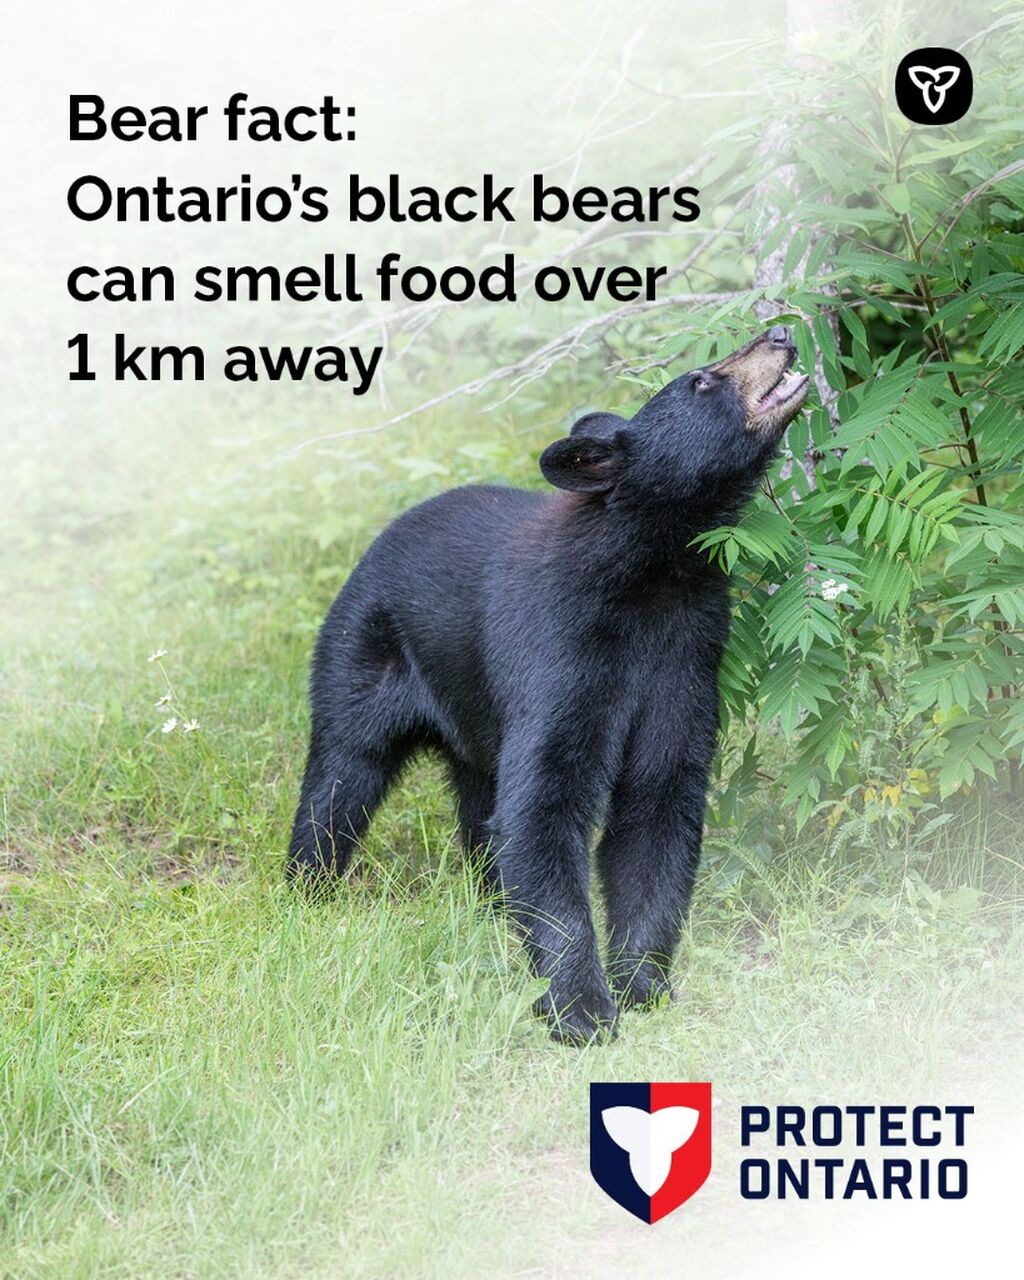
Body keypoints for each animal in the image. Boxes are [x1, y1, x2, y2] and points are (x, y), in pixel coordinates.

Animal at [288, 325, 809, 1042]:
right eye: (702, 380)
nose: (781, 332)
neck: (654, 576)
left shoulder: (686, 660)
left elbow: (658, 804)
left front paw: (643, 983)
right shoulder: (562, 656)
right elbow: (544, 805)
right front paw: (581, 1007)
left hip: (475, 713)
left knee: (481, 809)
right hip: (360, 653)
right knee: (341, 779)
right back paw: (306, 892)